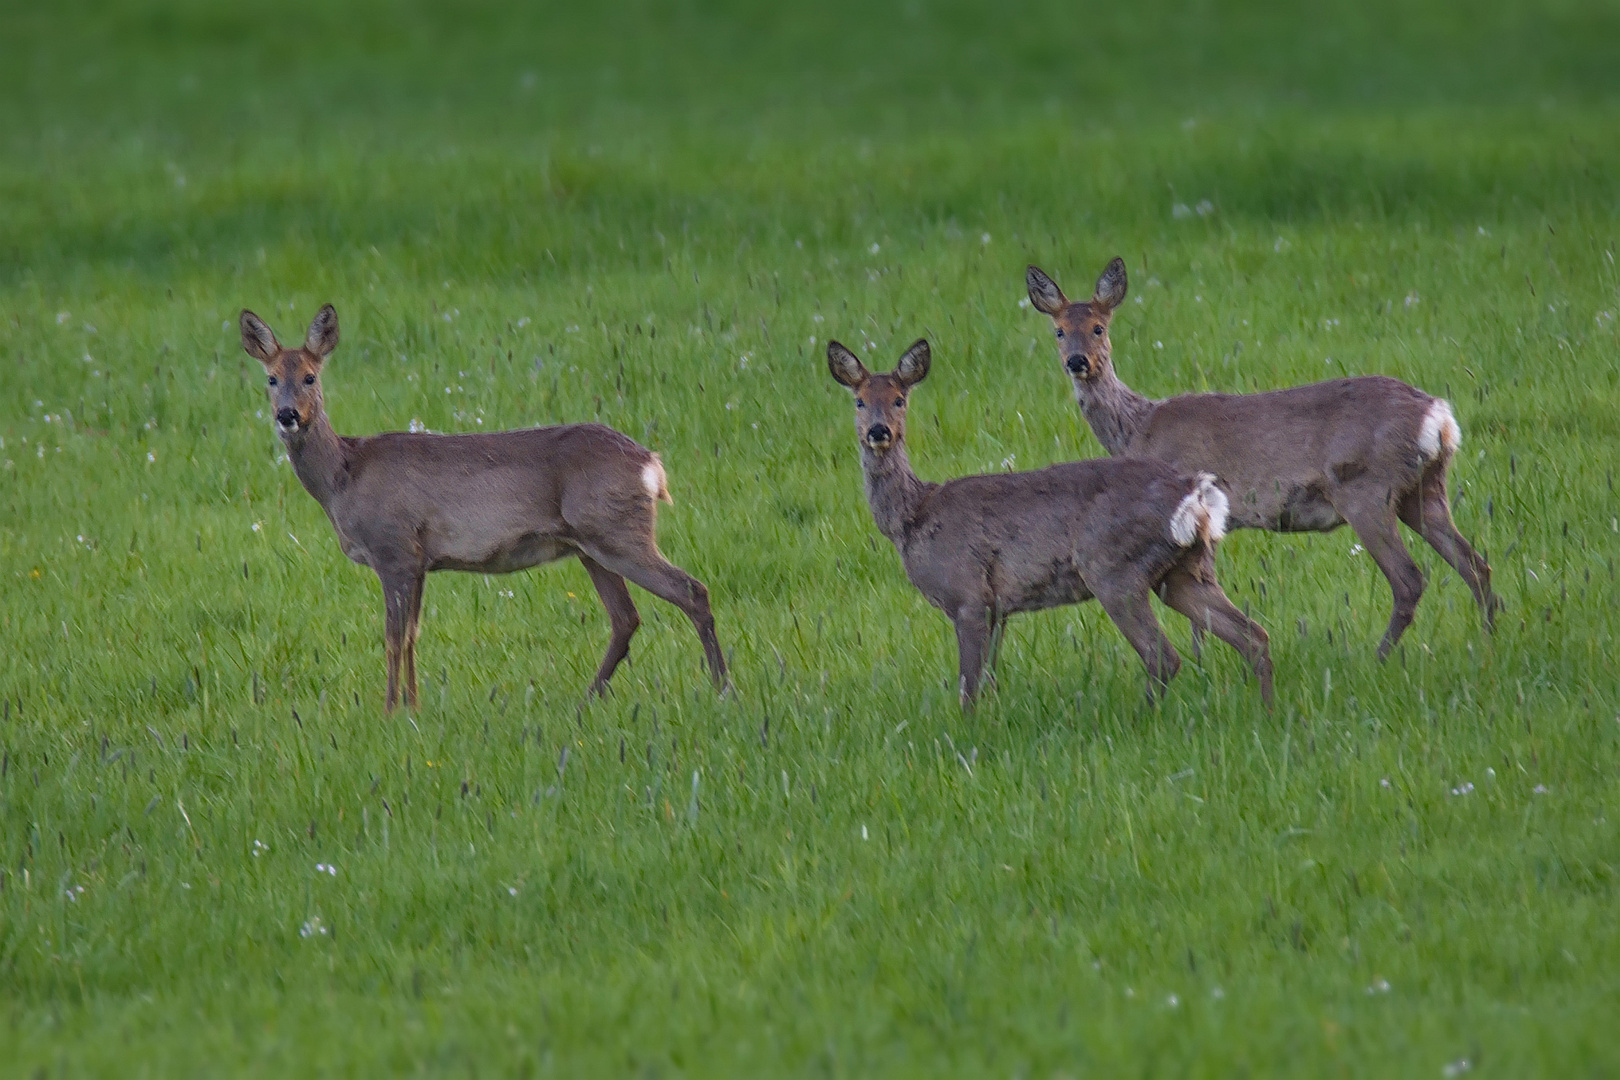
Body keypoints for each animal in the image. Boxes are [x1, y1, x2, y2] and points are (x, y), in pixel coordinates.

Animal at [239, 304, 729, 712]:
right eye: (271, 379)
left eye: (310, 376)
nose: (287, 415)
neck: (344, 477)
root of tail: (652, 465)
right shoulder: (419, 560)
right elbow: (413, 635)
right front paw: (414, 707)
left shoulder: (393, 549)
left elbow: (393, 638)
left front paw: (390, 710)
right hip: (592, 546)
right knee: (626, 618)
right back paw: (589, 699)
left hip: (617, 531)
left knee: (691, 590)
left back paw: (724, 689)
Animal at [829, 338, 1270, 709]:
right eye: (859, 401)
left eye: (899, 399)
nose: (879, 431)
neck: (914, 517)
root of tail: (1194, 492)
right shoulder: (998, 608)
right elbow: (988, 682)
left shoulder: (968, 595)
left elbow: (968, 688)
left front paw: (969, 736)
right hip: (1182, 572)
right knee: (1253, 635)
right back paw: (1264, 711)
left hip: (1113, 568)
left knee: (1163, 656)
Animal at [1030, 259, 1496, 660]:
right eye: (1058, 331)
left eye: (1098, 327)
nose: (1077, 362)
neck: (1137, 428)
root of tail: (1439, 416)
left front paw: (1201, 662)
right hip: (1424, 488)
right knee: (1475, 563)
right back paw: (1489, 638)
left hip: (1365, 489)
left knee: (1410, 578)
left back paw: (1378, 658)